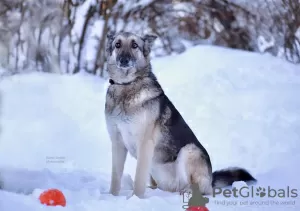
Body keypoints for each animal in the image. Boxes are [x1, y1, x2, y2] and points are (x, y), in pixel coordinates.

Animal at [104, 31, 256, 198]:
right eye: (118, 44)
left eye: (134, 45)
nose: (124, 60)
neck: (127, 85)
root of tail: (211, 180)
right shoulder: (117, 142)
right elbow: (115, 176)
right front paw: (112, 197)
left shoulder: (145, 144)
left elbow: (138, 179)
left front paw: (135, 199)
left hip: (189, 151)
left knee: (200, 190)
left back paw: (187, 193)